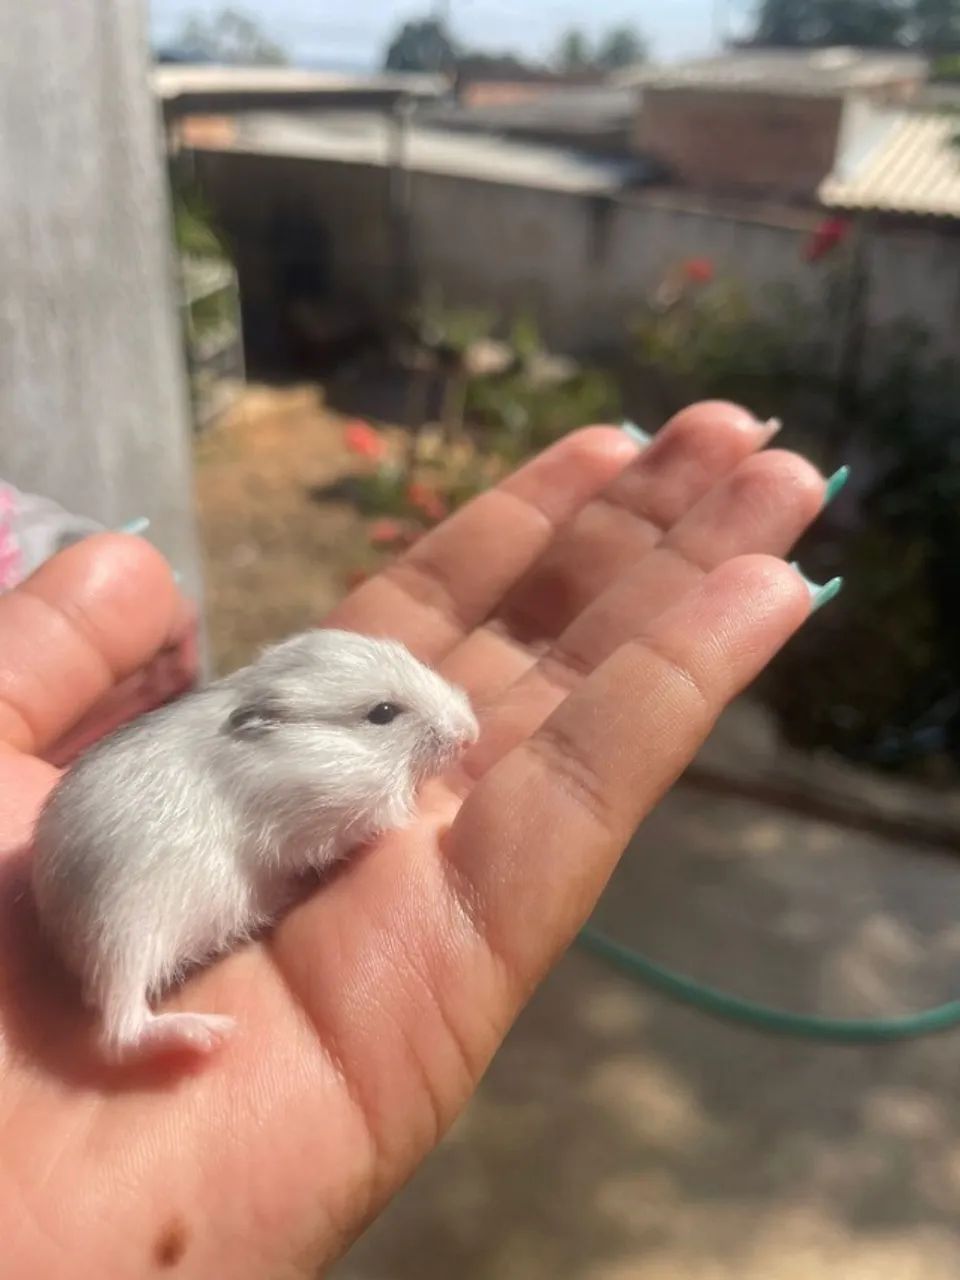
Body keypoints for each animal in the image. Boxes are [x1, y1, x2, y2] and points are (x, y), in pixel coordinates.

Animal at [32, 629, 479, 1061]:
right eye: (383, 713)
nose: (471, 735)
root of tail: (59, 932)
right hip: (126, 932)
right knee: (121, 1032)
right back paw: (209, 1034)